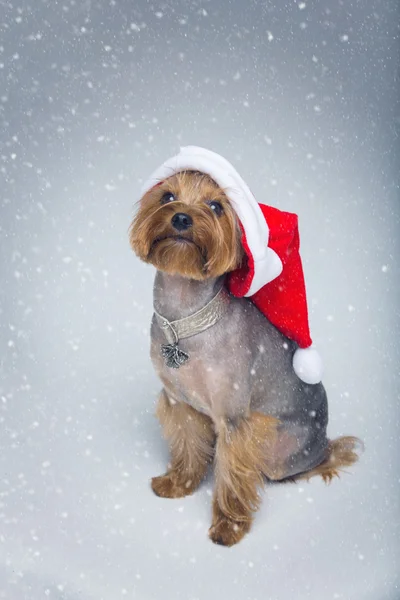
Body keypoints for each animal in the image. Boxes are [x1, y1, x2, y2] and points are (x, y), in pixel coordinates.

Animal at [130, 162, 360, 548]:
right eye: (167, 196)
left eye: (216, 206)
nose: (180, 218)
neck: (186, 318)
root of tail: (323, 441)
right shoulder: (181, 402)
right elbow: (188, 445)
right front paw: (179, 483)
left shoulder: (234, 419)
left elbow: (234, 473)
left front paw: (229, 526)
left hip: (281, 449)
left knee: (297, 466)